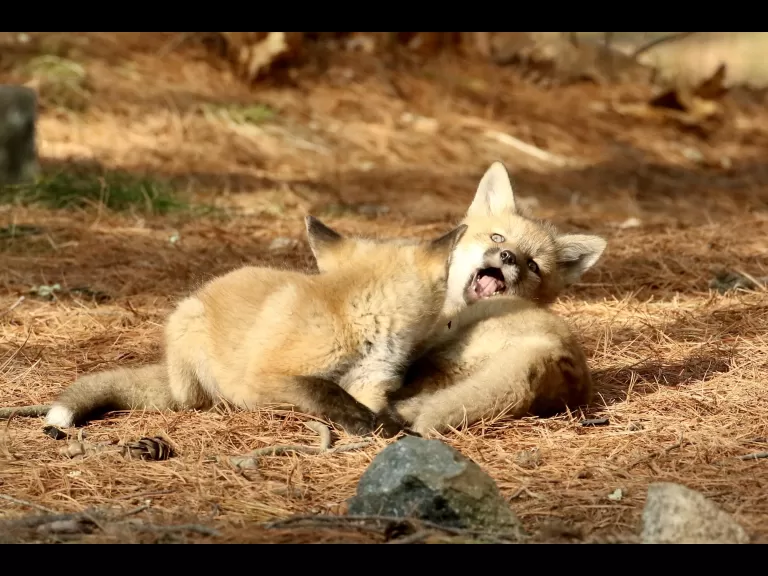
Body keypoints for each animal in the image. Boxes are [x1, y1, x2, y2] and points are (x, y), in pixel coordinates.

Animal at [44, 216, 467, 437]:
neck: (354, 316)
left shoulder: (372, 383)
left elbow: (377, 405)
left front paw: (390, 424)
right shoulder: (265, 375)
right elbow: (323, 389)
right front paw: (366, 424)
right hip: (189, 334)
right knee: (197, 400)